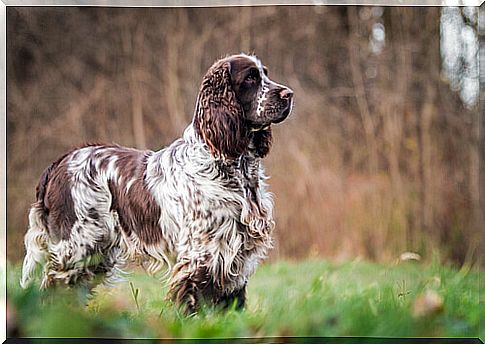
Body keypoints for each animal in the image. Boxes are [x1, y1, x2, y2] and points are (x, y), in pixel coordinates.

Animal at [20, 52, 294, 314]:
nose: (289, 94)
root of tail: (59, 163)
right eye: (250, 78)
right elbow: (197, 305)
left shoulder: (235, 257)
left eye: (265, 74)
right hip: (76, 248)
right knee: (53, 291)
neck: (231, 167)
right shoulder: (202, 256)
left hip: (94, 254)